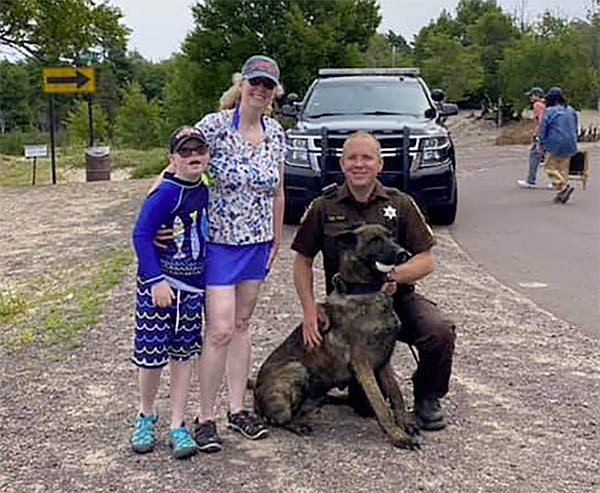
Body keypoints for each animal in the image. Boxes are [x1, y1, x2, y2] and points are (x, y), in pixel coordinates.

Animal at [255, 225, 420, 448]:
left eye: (391, 236)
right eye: (375, 240)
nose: (404, 254)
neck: (364, 292)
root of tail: (255, 399)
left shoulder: (384, 361)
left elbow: (396, 395)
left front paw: (403, 425)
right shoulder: (363, 364)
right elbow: (379, 402)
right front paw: (397, 435)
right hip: (296, 369)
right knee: (281, 418)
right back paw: (297, 424)